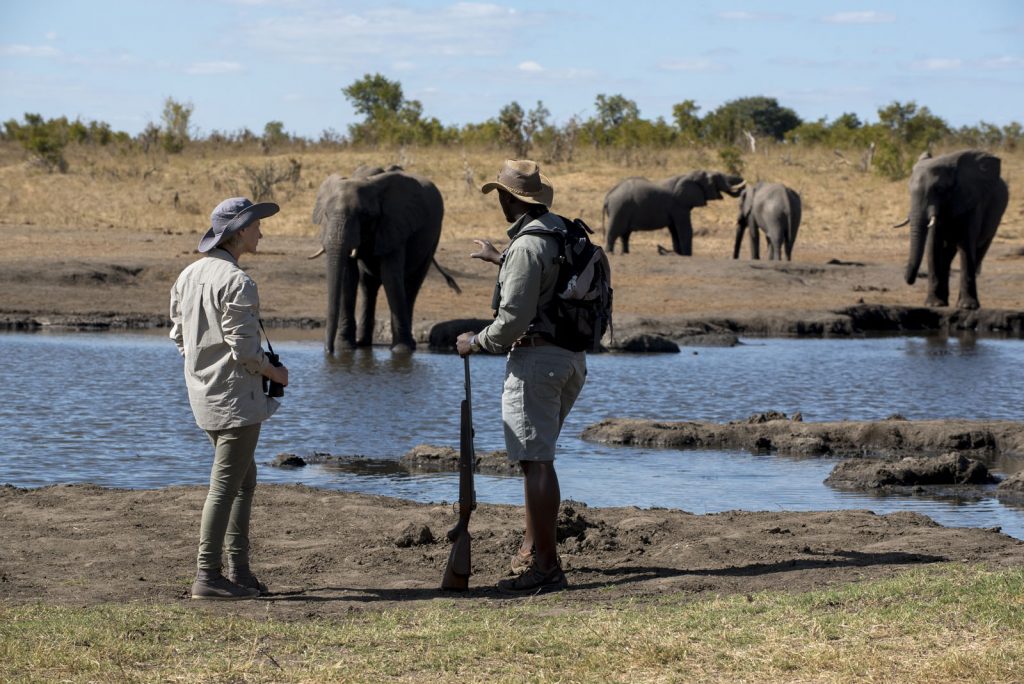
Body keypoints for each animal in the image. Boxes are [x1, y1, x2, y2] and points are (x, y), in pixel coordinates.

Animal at [310, 170, 458, 354]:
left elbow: (390, 278)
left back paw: (409, 345)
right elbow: (348, 277)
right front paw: (344, 348)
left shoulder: (395, 226)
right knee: (368, 285)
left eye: (365, 215)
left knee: (412, 285)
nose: (328, 351)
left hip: (433, 239)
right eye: (326, 214)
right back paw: (363, 343)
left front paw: (401, 350)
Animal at [603, 170, 745, 255]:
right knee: (614, 232)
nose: (744, 184)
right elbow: (685, 229)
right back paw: (610, 253)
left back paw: (625, 253)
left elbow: (675, 231)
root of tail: (608, 196)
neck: (690, 175)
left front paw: (679, 254)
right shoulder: (679, 205)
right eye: (716, 177)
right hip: (619, 209)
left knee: (625, 235)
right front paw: (687, 255)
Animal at [898, 149, 1008, 309]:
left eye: (939, 189)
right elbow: (933, 246)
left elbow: (967, 246)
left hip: (996, 219)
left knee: (979, 252)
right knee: (947, 255)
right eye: (909, 190)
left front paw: (967, 306)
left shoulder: (972, 202)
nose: (908, 280)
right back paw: (944, 302)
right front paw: (933, 304)